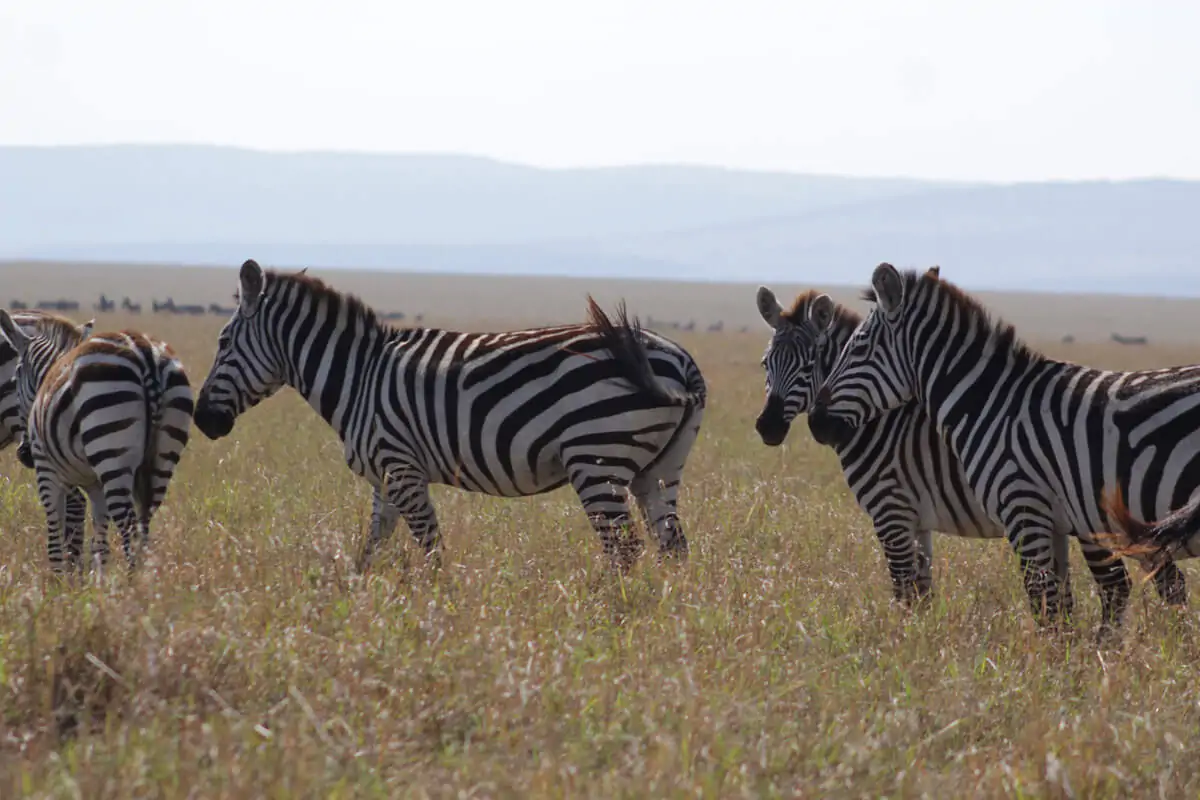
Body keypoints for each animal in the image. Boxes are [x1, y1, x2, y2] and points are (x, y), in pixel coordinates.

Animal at [0, 313, 194, 572]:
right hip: (163, 456)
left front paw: (58, 579)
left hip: (110, 449)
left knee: (129, 529)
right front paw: (97, 579)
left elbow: (54, 536)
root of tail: (145, 353)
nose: (25, 454)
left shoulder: (46, 470)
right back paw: (144, 581)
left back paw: (133, 582)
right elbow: (100, 544)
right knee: (143, 528)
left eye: (16, 376)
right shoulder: (95, 485)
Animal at [192, 259, 707, 572]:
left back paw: (606, 613)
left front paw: (440, 613)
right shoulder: (385, 478)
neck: (359, 376)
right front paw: (356, 601)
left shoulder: (401, 468)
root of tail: (681, 359)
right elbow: (371, 547)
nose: (201, 420)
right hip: (659, 468)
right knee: (673, 547)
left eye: (223, 342)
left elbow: (431, 549)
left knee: (625, 550)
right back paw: (668, 618)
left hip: (597, 459)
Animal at [808, 263, 1198, 634]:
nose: (815, 421)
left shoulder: (1022, 507)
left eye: (858, 348)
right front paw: (1069, 657)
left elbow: (1044, 603)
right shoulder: (1052, 520)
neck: (991, 404)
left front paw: (1048, 660)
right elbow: (1060, 605)